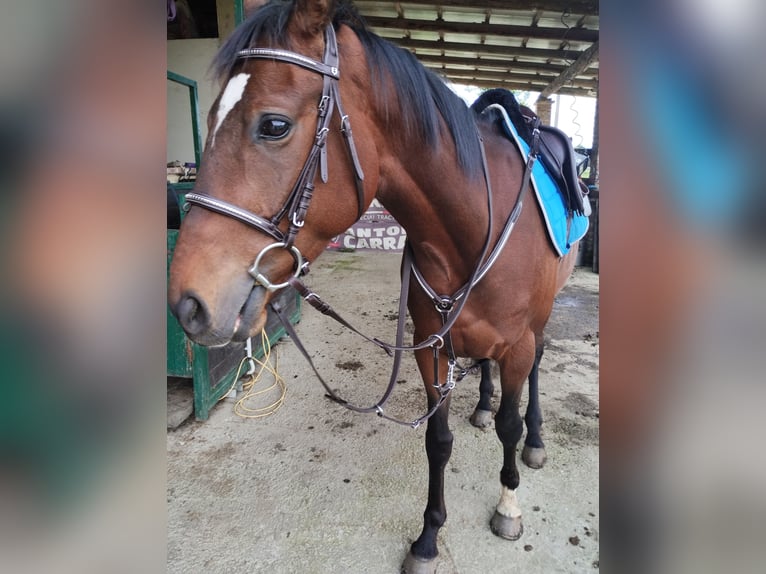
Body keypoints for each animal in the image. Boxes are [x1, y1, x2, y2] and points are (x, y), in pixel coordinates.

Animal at [166, 2, 576, 572]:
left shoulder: (515, 343)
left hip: (540, 322)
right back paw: (481, 404)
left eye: (274, 125)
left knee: (534, 372)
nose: (188, 303)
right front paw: (428, 536)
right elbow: (438, 440)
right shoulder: (433, 347)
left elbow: (509, 429)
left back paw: (535, 438)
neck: (474, 229)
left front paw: (508, 504)